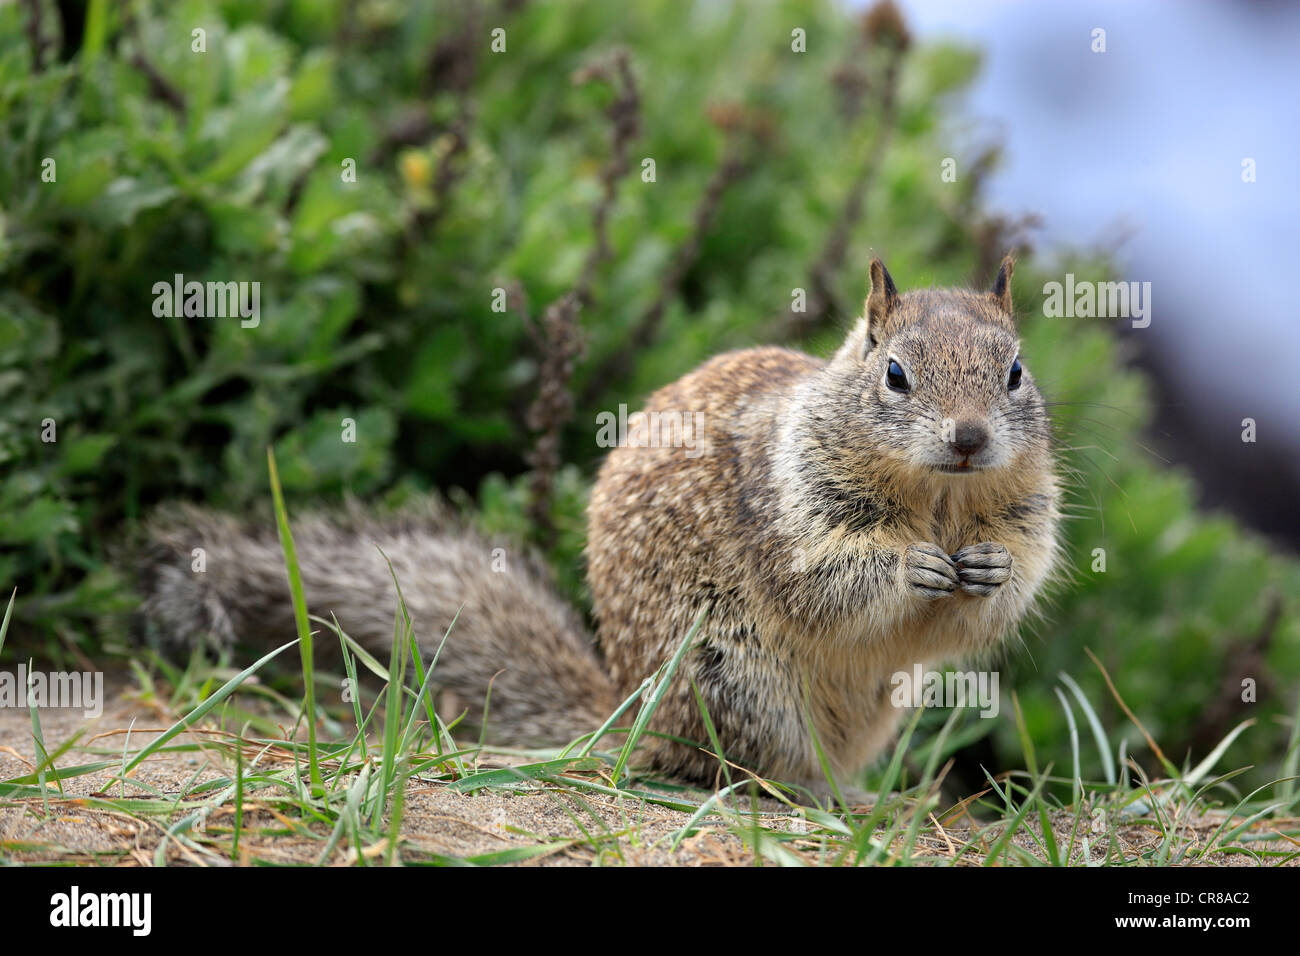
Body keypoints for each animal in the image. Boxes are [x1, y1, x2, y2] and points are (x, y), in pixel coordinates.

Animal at [137, 257, 1060, 790]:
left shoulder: (1025, 516)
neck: (938, 504)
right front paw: (913, 570)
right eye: (896, 374)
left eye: (1016, 371)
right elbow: (826, 586)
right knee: (733, 768)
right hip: (732, 677)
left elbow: (1001, 594)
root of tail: (626, 714)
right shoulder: (790, 512)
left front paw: (988, 574)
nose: (969, 438)